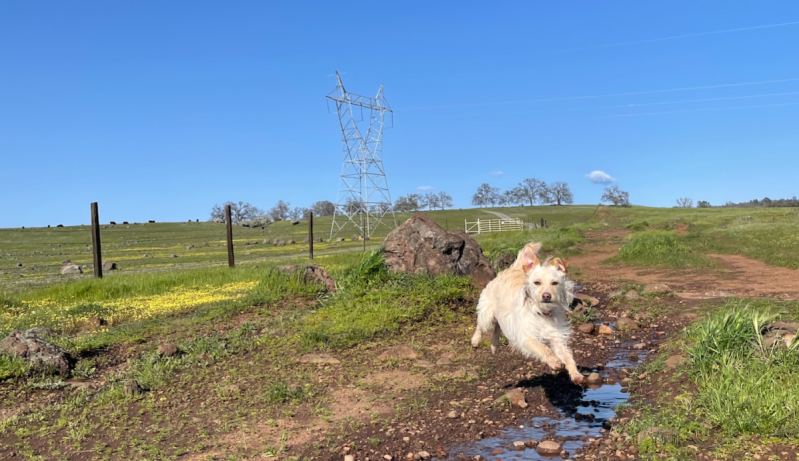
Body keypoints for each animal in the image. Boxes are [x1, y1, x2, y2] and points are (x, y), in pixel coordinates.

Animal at [472, 243, 584, 382]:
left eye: (555, 283)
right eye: (537, 282)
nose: (546, 296)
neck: (542, 312)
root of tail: (511, 269)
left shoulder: (556, 338)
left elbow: (567, 356)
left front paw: (576, 374)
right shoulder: (526, 337)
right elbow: (544, 348)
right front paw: (556, 362)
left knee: (498, 326)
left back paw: (494, 345)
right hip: (486, 313)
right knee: (481, 325)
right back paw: (475, 340)